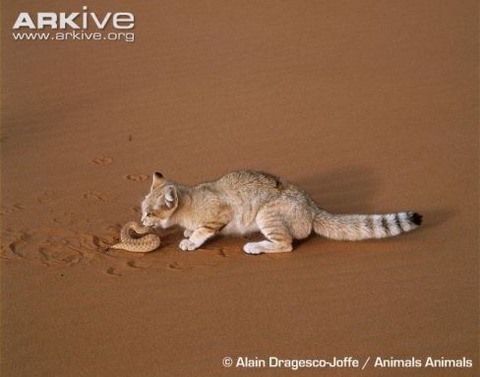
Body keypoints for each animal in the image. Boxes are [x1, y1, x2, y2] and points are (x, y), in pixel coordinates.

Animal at [141, 170, 422, 253]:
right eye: (143, 210)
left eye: (150, 213)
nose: (140, 220)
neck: (189, 199)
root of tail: (312, 207)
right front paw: (188, 233)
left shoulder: (220, 216)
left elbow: (204, 230)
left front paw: (191, 241)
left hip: (267, 215)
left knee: (286, 244)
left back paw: (255, 246)